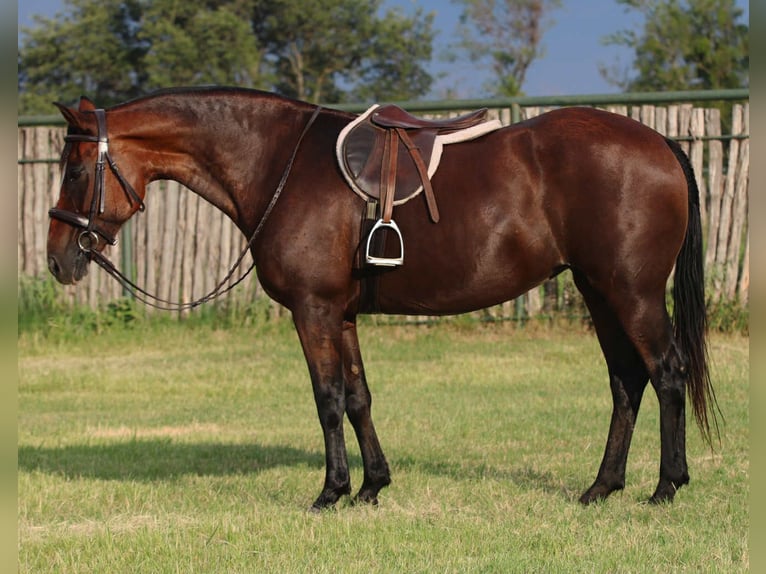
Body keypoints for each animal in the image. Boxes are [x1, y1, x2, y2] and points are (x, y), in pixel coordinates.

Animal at [46, 87, 718, 510]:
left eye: (75, 171)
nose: (57, 260)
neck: (280, 163)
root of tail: (660, 143)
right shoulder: (340, 314)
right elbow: (359, 397)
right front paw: (372, 486)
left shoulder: (313, 310)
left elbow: (326, 399)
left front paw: (330, 492)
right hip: (598, 293)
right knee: (627, 382)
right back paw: (602, 488)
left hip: (630, 293)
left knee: (667, 372)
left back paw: (666, 486)